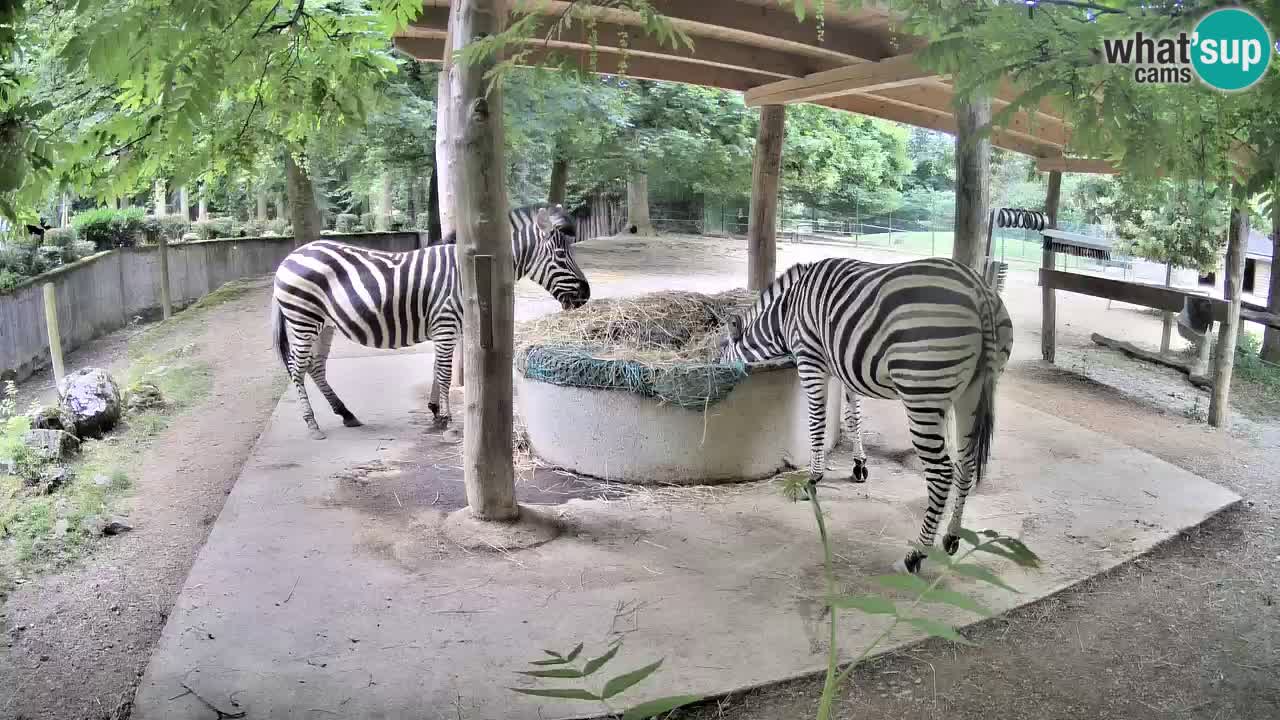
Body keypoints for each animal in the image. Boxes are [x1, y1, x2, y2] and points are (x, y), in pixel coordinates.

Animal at [271, 204, 590, 439]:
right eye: (561, 255)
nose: (586, 294)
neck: (468, 272)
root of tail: (289, 257)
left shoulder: (446, 327)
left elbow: (438, 369)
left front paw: (436, 411)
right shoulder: (445, 324)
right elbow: (446, 373)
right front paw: (447, 420)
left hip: (324, 325)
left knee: (315, 367)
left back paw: (346, 414)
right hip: (303, 319)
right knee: (296, 368)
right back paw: (312, 424)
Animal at [720, 257, 1013, 574]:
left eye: (720, 351)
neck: (786, 313)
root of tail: (979, 289)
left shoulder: (810, 361)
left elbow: (817, 422)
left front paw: (813, 478)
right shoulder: (845, 367)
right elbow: (853, 417)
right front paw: (859, 465)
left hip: (922, 391)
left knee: (942, 473)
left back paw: (917, 554)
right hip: (971, 393)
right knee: (966, 465)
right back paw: (951, 537)